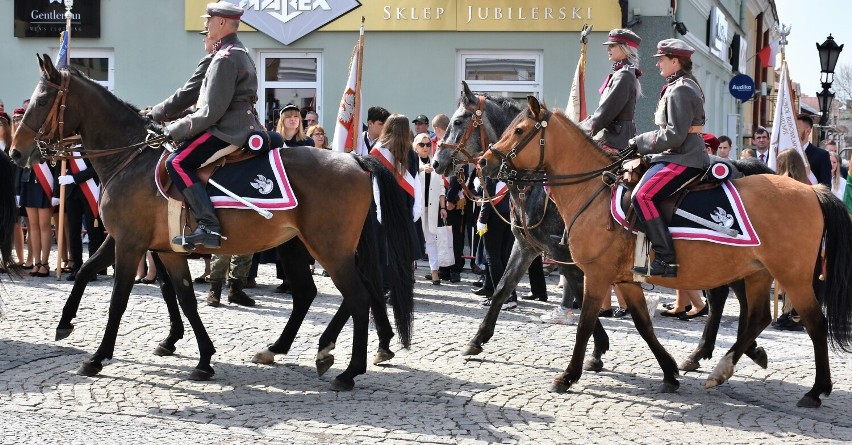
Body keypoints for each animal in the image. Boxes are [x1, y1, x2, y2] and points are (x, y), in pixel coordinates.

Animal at [9, 54, 416, 388]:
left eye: (42, 100)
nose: (16, 152)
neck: (130, 159)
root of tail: (354, 159)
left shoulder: (129, 243)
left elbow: (119, 300)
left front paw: (97, 357)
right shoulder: (157, 247)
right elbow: (177, 296)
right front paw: (201, 358)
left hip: (329, 249)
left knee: (359, 295)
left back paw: (348, 371)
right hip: (302, 246)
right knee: (316, 294)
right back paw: (299, 349)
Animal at [480, 95, 852, 408]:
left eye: (519, 130)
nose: (484, 162)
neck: (594, 193)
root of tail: (812, 190)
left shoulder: (595, 274)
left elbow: (585, 324)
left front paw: (568, 375)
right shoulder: (624, 279)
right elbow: (644, 325)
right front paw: (669, 372)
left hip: (792, 277)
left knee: (814, 323)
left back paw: (815, 390)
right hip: (757, 271)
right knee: (757, 316)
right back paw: (723, 367)